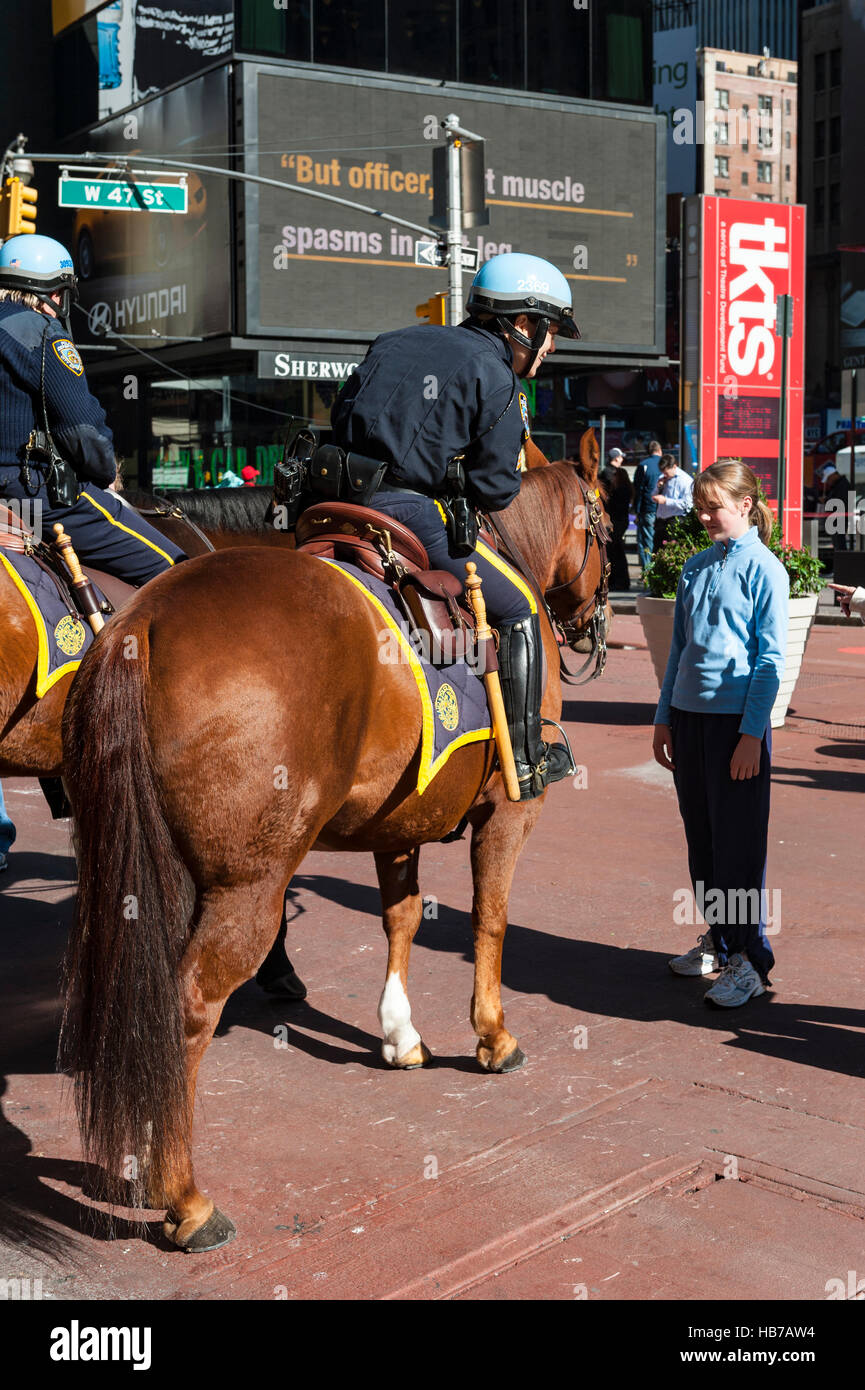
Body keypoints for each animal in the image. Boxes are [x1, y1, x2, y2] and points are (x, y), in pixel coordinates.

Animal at [61, 450, 609, 1256]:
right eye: (606, 520)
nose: (595, 623)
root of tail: (142, 620)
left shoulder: (400, 820)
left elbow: (402, 918)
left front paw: (400, 1034)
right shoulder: (511, 811)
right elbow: (491, 918)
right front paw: (492, 1034)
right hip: (247, 885)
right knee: (188, 1006)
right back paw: (186, 1199)